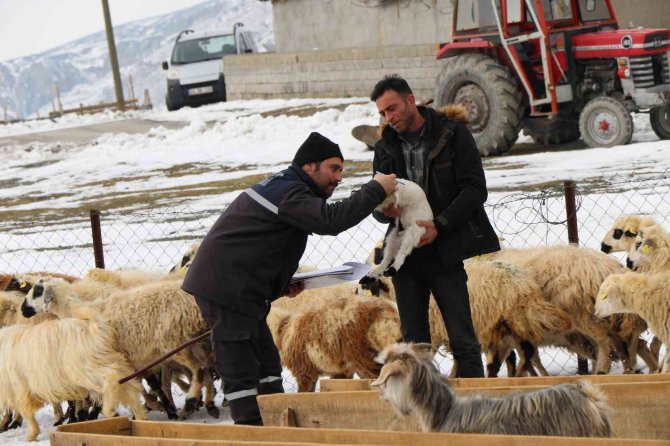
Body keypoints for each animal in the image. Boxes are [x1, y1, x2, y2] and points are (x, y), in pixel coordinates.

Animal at [0, 318, 146, 440]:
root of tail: (96, 328)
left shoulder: (19, 388)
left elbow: (25, 411)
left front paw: (31, 435)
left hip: (87, 370)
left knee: (112, 378)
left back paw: (109, 409)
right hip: (106, 362)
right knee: (130, 389)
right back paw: (140, 418)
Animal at [268, 294, 404, 392]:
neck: (282, 329)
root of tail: (387, 311)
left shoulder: (305, 372)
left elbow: (304, 392)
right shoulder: (340, 371)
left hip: (365, 358)